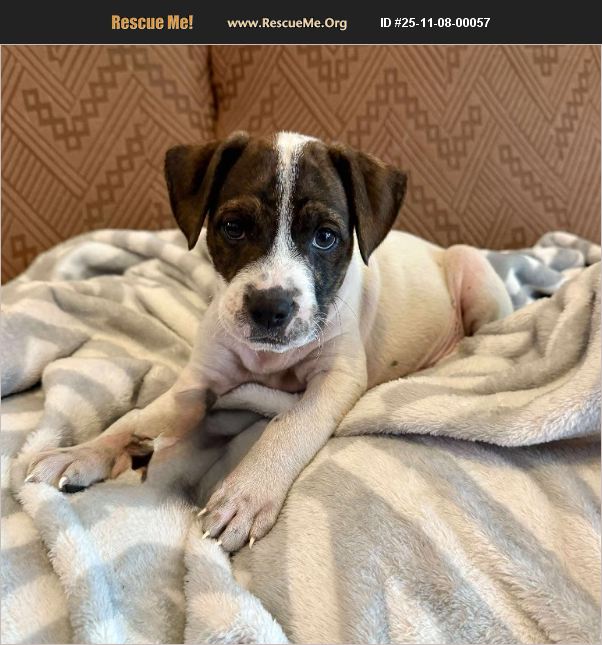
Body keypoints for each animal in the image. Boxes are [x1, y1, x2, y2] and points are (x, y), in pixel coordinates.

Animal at [26, 131, 512, 552]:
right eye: (233, 227)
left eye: (326, 237)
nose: (269, 308)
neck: (268, 361)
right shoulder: (201, 375)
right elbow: (140, 416)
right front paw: (84, 451)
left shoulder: (336, 379)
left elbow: (289, 426)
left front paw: (247, 494)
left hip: (473, 273)